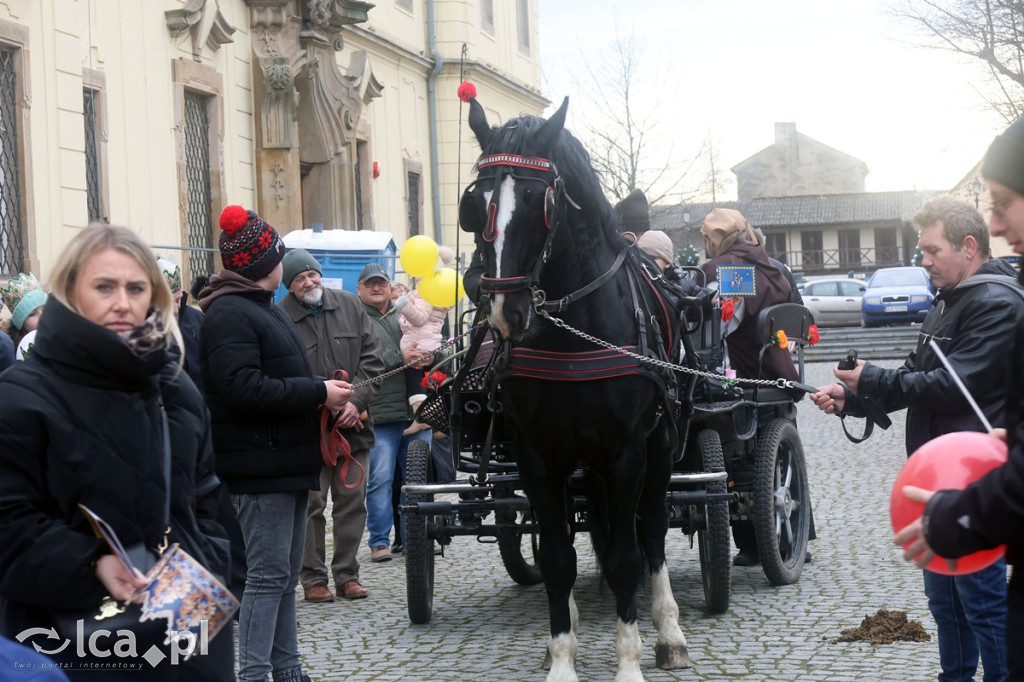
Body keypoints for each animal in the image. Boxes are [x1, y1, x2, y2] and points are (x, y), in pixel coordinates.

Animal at [462, 96, 688, 679]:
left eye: (540, 200)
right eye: (476, 204)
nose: (505, 311)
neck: (573, 336)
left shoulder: (627, 453)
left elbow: (627, 557)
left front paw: (629, 662)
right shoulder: (537, 457)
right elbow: (558, 557)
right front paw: (562, 655)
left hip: (659, 447)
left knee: (652, 531)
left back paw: (668, 631)